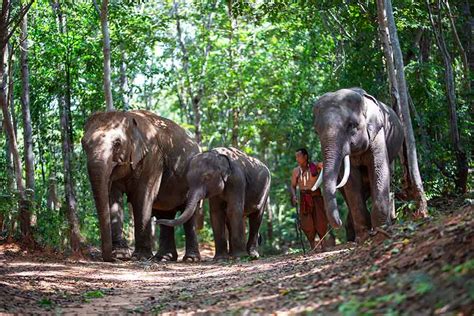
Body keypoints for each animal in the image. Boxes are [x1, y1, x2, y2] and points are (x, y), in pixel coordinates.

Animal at [81, 109, 200, 262]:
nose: (110, 259)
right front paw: (121, 255)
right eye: (83, 144)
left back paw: (190, 259)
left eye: (117, 143)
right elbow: (113, 197)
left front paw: (140, 257)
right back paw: (163, 258)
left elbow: (143, 196)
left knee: (190, 215)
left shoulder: (153, 156)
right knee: (166, 214)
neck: (129, 117)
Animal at [312, 88, 404, 242]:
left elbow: (379, 169)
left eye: (351, 125)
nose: (338, 222)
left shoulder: (377, 134)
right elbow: (351, 182)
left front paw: (381, 232)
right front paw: (364, 236)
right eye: (316, 131)